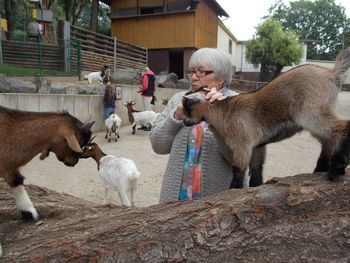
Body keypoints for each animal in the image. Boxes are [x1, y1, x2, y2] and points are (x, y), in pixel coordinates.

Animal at [182, 46, 350, 189]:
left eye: (187, 108)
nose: (184, 121)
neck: (225, 110)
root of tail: (331, 73)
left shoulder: (242, 143)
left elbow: (238, 168)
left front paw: (233, 189)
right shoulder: (257, 146)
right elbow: (257, 168)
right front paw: (256, 186)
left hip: (310, 113)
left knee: (341, 127)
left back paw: (336, 170)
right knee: (327, 140)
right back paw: (321, 169)